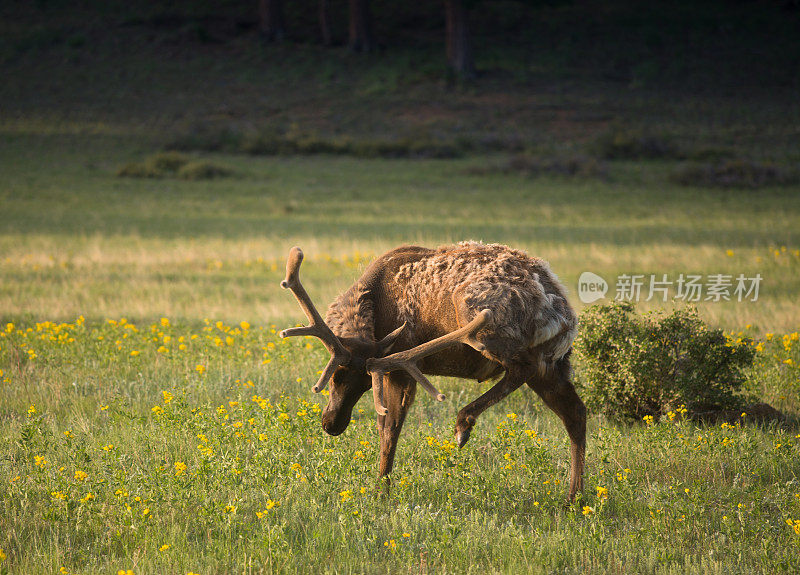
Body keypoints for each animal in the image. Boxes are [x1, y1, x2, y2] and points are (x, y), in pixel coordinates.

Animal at [282, 241, 588, 502]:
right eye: (335, 374)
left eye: (365, 382)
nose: (331, 424)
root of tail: (563, 316)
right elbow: (384, 426)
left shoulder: (399, 365)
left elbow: (390, 427)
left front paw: (381, 492)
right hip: (555, 363)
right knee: (575, 411)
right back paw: (573, 498)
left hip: (480, 316)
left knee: (522, 368)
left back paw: (463, 424)